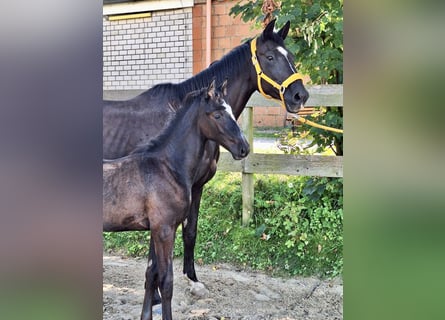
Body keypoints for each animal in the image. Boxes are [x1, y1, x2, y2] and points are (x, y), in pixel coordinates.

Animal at [104, 81, 250, 318]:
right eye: (217, 114)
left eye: (230, 110)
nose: (244, 147)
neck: (168, 167)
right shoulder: (164, 229)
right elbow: (166, 282)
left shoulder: (157, 229)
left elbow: (151, 274)